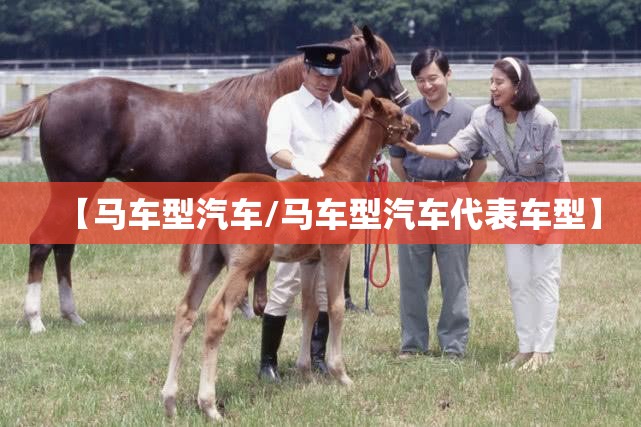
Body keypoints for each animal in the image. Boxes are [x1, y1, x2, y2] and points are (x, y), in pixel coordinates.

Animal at [0, 25, 410, 334]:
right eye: (387, 68)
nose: (406, 114)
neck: (272, 103)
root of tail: (52, 97)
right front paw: (253, 307)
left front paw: (245, 305)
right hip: (72, 190)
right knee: (43, 243)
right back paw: (36, 320)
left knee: (64, 247)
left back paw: (72, 315)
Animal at [160, 88, 420, 421]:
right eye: (397, 113)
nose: (415, 126)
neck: (340, 175)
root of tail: (219, 193)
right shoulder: (337, 251)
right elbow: (335, 306)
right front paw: (340, 373)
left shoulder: (310, 259)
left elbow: (310, 308)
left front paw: (306, 371)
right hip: (242, 266)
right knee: (217, 315)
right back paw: (208, 404)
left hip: (209, 263)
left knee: (186, 313)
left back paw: (169, 400)